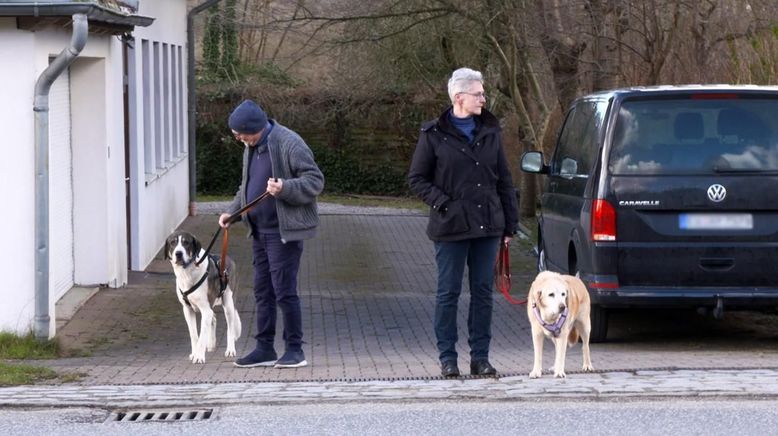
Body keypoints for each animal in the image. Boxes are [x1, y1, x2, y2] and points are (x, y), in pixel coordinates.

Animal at [167, 230, 242, 362]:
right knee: (213, 317)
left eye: (186, 243)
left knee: (230, 327)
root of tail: (229, 259)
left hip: (228, 303)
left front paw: (199, 357)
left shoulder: (205, 309)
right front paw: (195, 353)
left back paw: (230, 350)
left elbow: (202, 335)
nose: (178, 253)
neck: (187, 272)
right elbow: (193, 334)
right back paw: (211, 345)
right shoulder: (188, 310)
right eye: (172, 243)